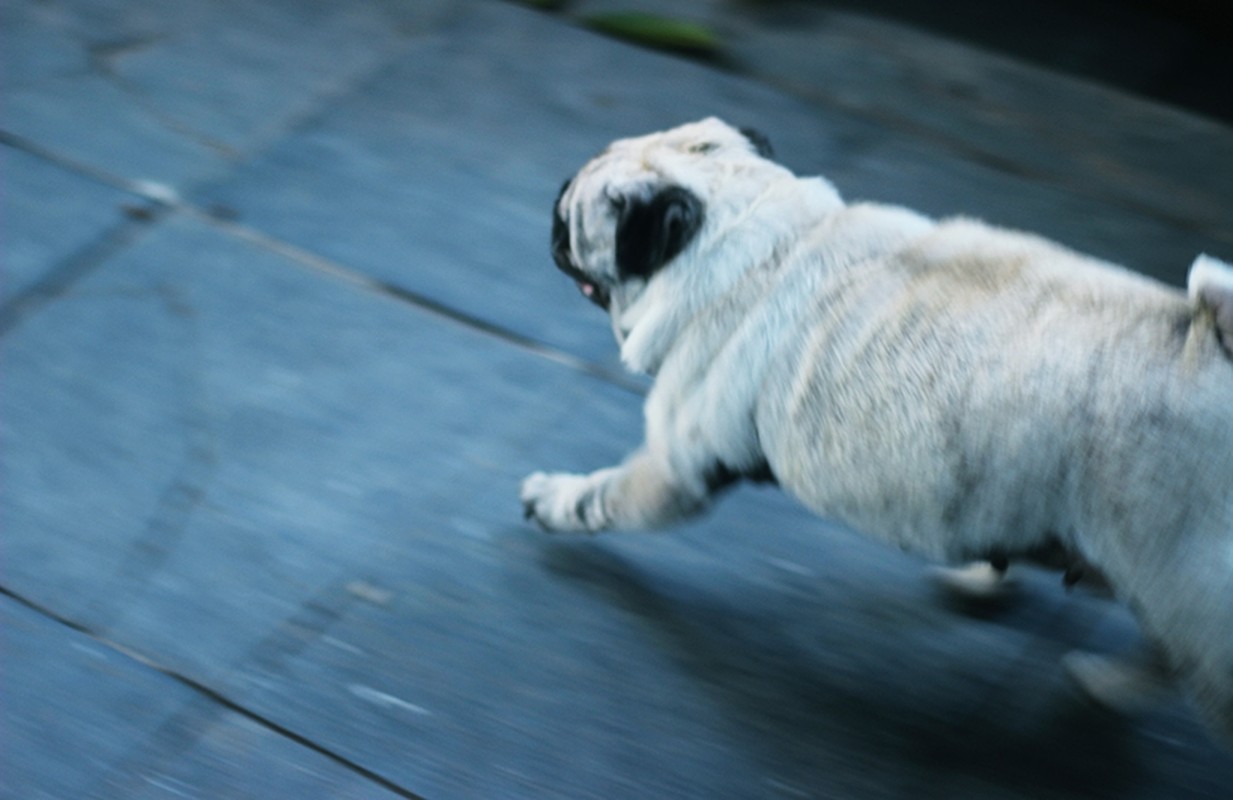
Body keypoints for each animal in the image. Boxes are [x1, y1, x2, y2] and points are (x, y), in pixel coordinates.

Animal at [520, 118, 1233, 744]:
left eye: (573, 217)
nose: (555, 195)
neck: (761, 239)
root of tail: (1205, 341)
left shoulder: (673, 470)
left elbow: (600, 498)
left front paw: (552, 501)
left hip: (1181, 586)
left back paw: (1108, 685)